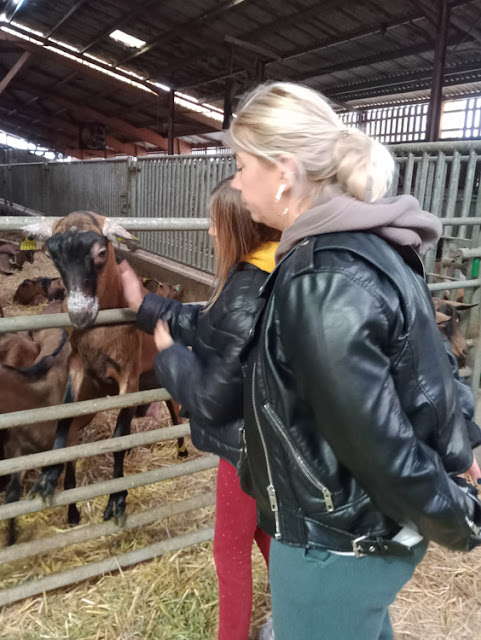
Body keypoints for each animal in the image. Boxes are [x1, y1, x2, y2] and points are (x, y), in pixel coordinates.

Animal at [26, 212, 186, 524]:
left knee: (174, 410)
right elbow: (65, 418)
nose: (79, 314)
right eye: (52, 256)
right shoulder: (78, 367)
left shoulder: (129, 377)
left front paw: (116, 500)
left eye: (102, 252)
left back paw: (183, 451)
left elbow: (118, 439)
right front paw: (50, 479)